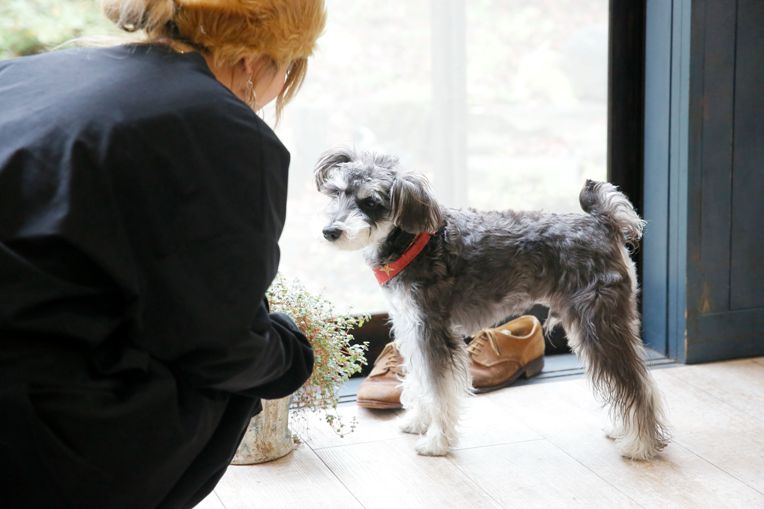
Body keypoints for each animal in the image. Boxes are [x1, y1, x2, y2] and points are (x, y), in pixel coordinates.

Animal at [314, 148, 669, 459]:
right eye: (336, 192)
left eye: (371, 202)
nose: (330, 231)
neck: (415, 241)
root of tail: (604, 223)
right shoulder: (411, 328)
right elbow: (420, 380)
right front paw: (418, 421)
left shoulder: (433, 331)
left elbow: (439, 390)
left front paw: (436, 442)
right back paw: (623, 429)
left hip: (598, 323)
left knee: (638, 385)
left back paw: (640, 444)